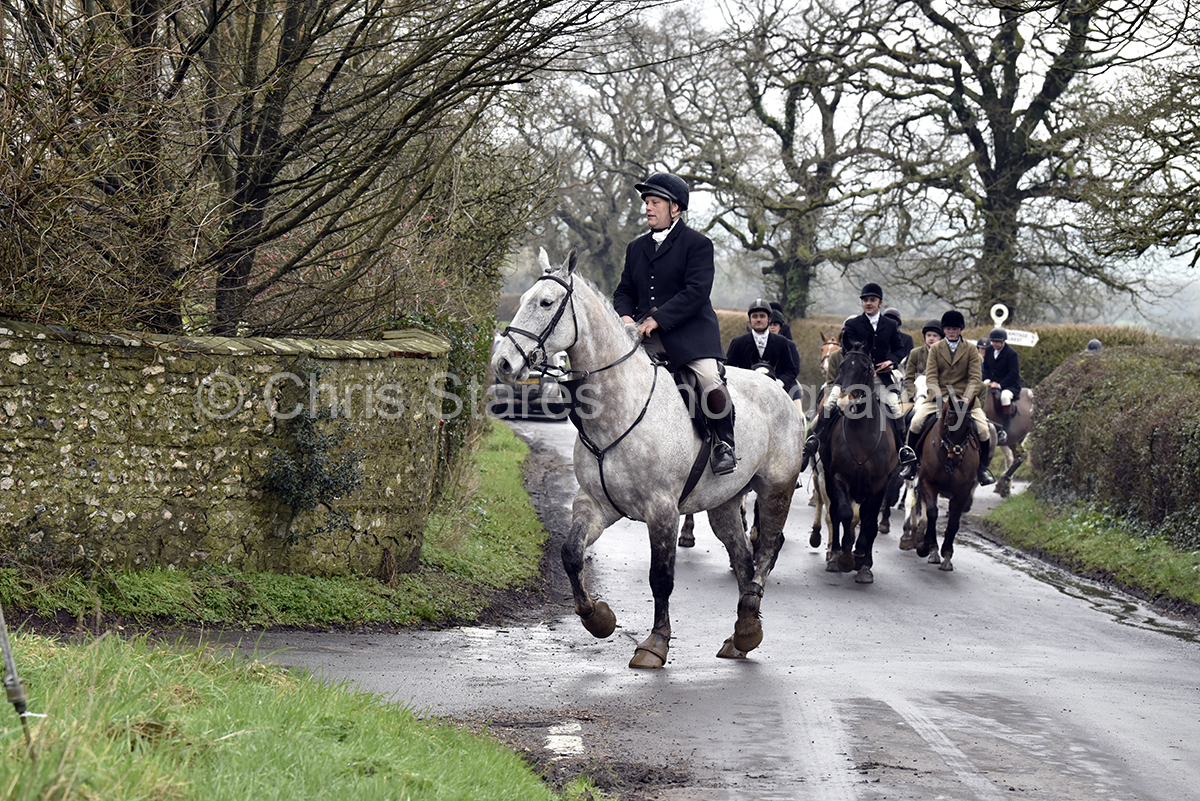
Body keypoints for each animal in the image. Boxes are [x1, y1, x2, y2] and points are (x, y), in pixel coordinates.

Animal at [491, 249, 803, 668]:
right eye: (523, 299)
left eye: (545, 303)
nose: (503, 363)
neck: (619, 406)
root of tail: (776, 387)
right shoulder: (595, 503)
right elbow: (571, 553)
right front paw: (598, 618)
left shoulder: (662, 510)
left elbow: (661, 578)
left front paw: (655, 643)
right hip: (724, 504)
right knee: (742, 558)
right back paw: (739, 635)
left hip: (775, 489)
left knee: (768, 547)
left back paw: (750, 624)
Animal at [818, 336, 898, 584]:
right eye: (843, 366)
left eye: (866, 368)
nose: (844, 403)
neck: (862, 431)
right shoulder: (838, 476)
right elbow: (843, 513)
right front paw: (845, 557)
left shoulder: (880, 483)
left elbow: (869, 522)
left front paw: (863, 558)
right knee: (836, 513)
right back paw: (836, 555)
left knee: (865, 518)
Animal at [905, 393, 979, 571]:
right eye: (948, 424)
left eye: (969, 427)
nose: (955, 457)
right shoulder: (928, 482)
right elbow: (932, 513)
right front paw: (926, 548)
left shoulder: (963, 491)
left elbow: (953, 522)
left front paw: (946, 554)